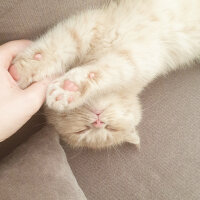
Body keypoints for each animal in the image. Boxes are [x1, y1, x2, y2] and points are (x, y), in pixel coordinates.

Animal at [11, 0, 200, 148]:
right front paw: (20, 70)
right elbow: (59, 44)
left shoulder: (140, 57)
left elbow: (106, 70)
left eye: (110, 129)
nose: (98, 122)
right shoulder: (91, 24)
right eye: (81, 130)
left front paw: (69, 88)